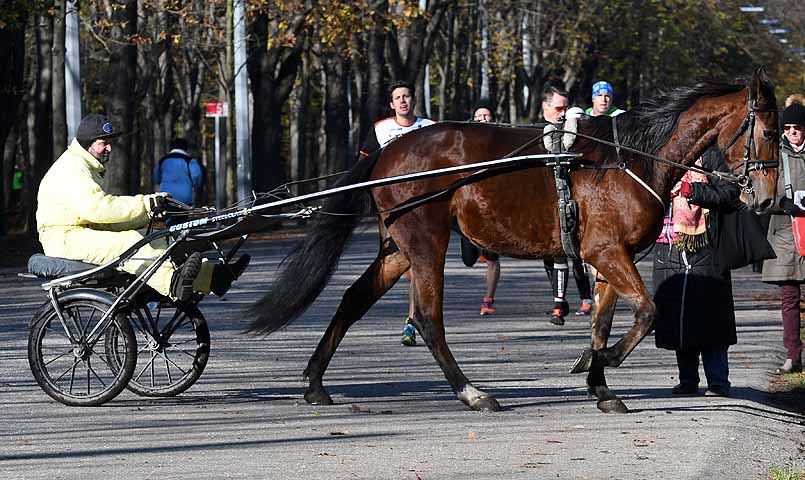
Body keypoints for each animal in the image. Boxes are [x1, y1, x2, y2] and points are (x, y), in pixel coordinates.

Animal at [248, 67, 776, 412]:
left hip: (397, 247)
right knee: (428, 319)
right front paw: (600, 363)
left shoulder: (610, 258)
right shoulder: (605, 252)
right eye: (769, 131)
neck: (627, 158)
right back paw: (472, 392)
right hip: (425, 243)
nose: (769, 196)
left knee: (354, 299)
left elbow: (604, 322)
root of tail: (389, 150)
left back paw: (316, 382)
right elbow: (646, 313)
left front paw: (601, 383)